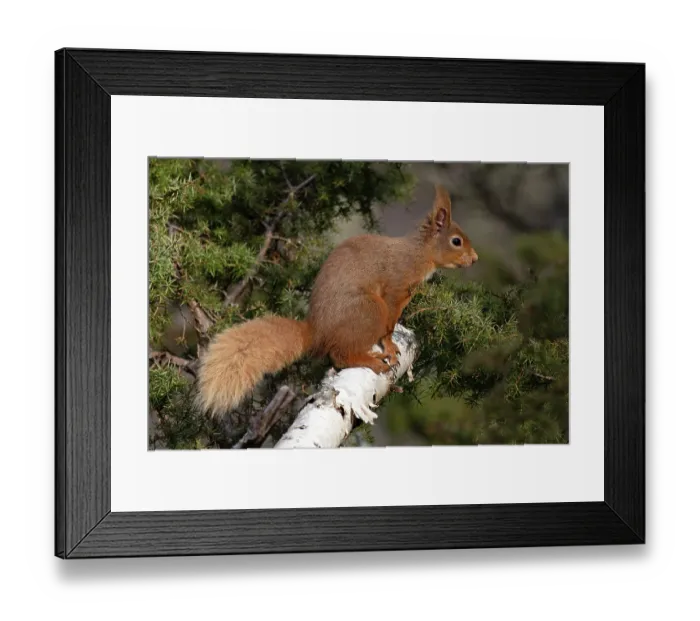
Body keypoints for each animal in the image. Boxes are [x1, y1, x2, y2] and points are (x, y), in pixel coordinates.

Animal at [195, 184, 478, 419]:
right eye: (456, 241)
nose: (475, 259)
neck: (419, 254)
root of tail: (317, 331)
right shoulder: (395, 290)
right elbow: (389, 325)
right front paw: (388, 347)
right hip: (370, 310)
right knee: (340, 356)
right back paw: (371, 360)